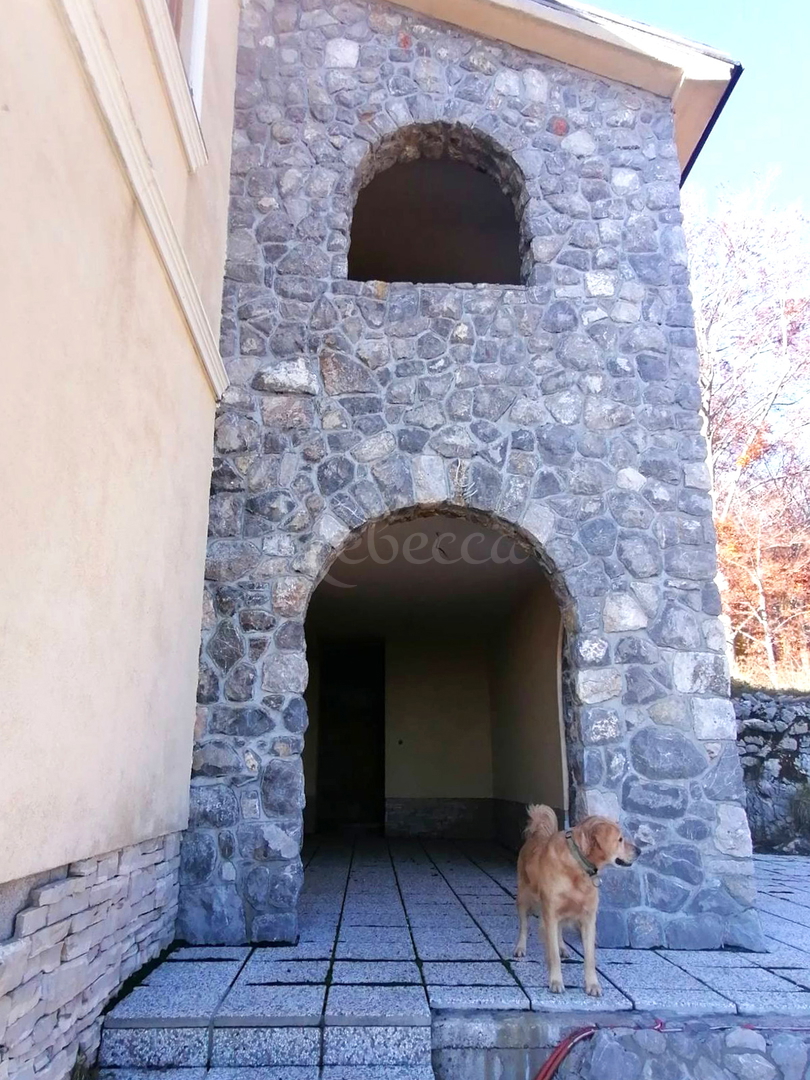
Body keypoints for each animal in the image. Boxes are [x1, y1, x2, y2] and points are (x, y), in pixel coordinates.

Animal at [514, 803, 639, 993]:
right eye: (620, 840)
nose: (639, 851)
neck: (578, 864)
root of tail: (537, 835)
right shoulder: (551, 914)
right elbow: (553, 955)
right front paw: (556, 981)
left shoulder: (588, 918)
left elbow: (589, 957)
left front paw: (592, 984)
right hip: (523, 897)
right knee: (524, 925)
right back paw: (521, 947)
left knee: (559, 932)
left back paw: (562, 947)